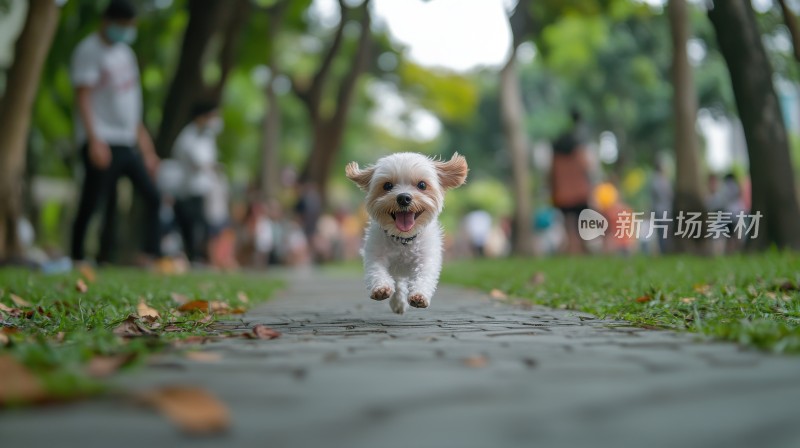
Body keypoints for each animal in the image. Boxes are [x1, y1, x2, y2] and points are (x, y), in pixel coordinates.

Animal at [346, 152, 468, 314]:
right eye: (387, 185)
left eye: (422, 185)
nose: (403, 197)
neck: (403, 239)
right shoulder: (376, 255)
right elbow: (377, 272)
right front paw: (381, 288)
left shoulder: (426, 258)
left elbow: (424, 276)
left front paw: (419, 296)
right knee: (398, 283)